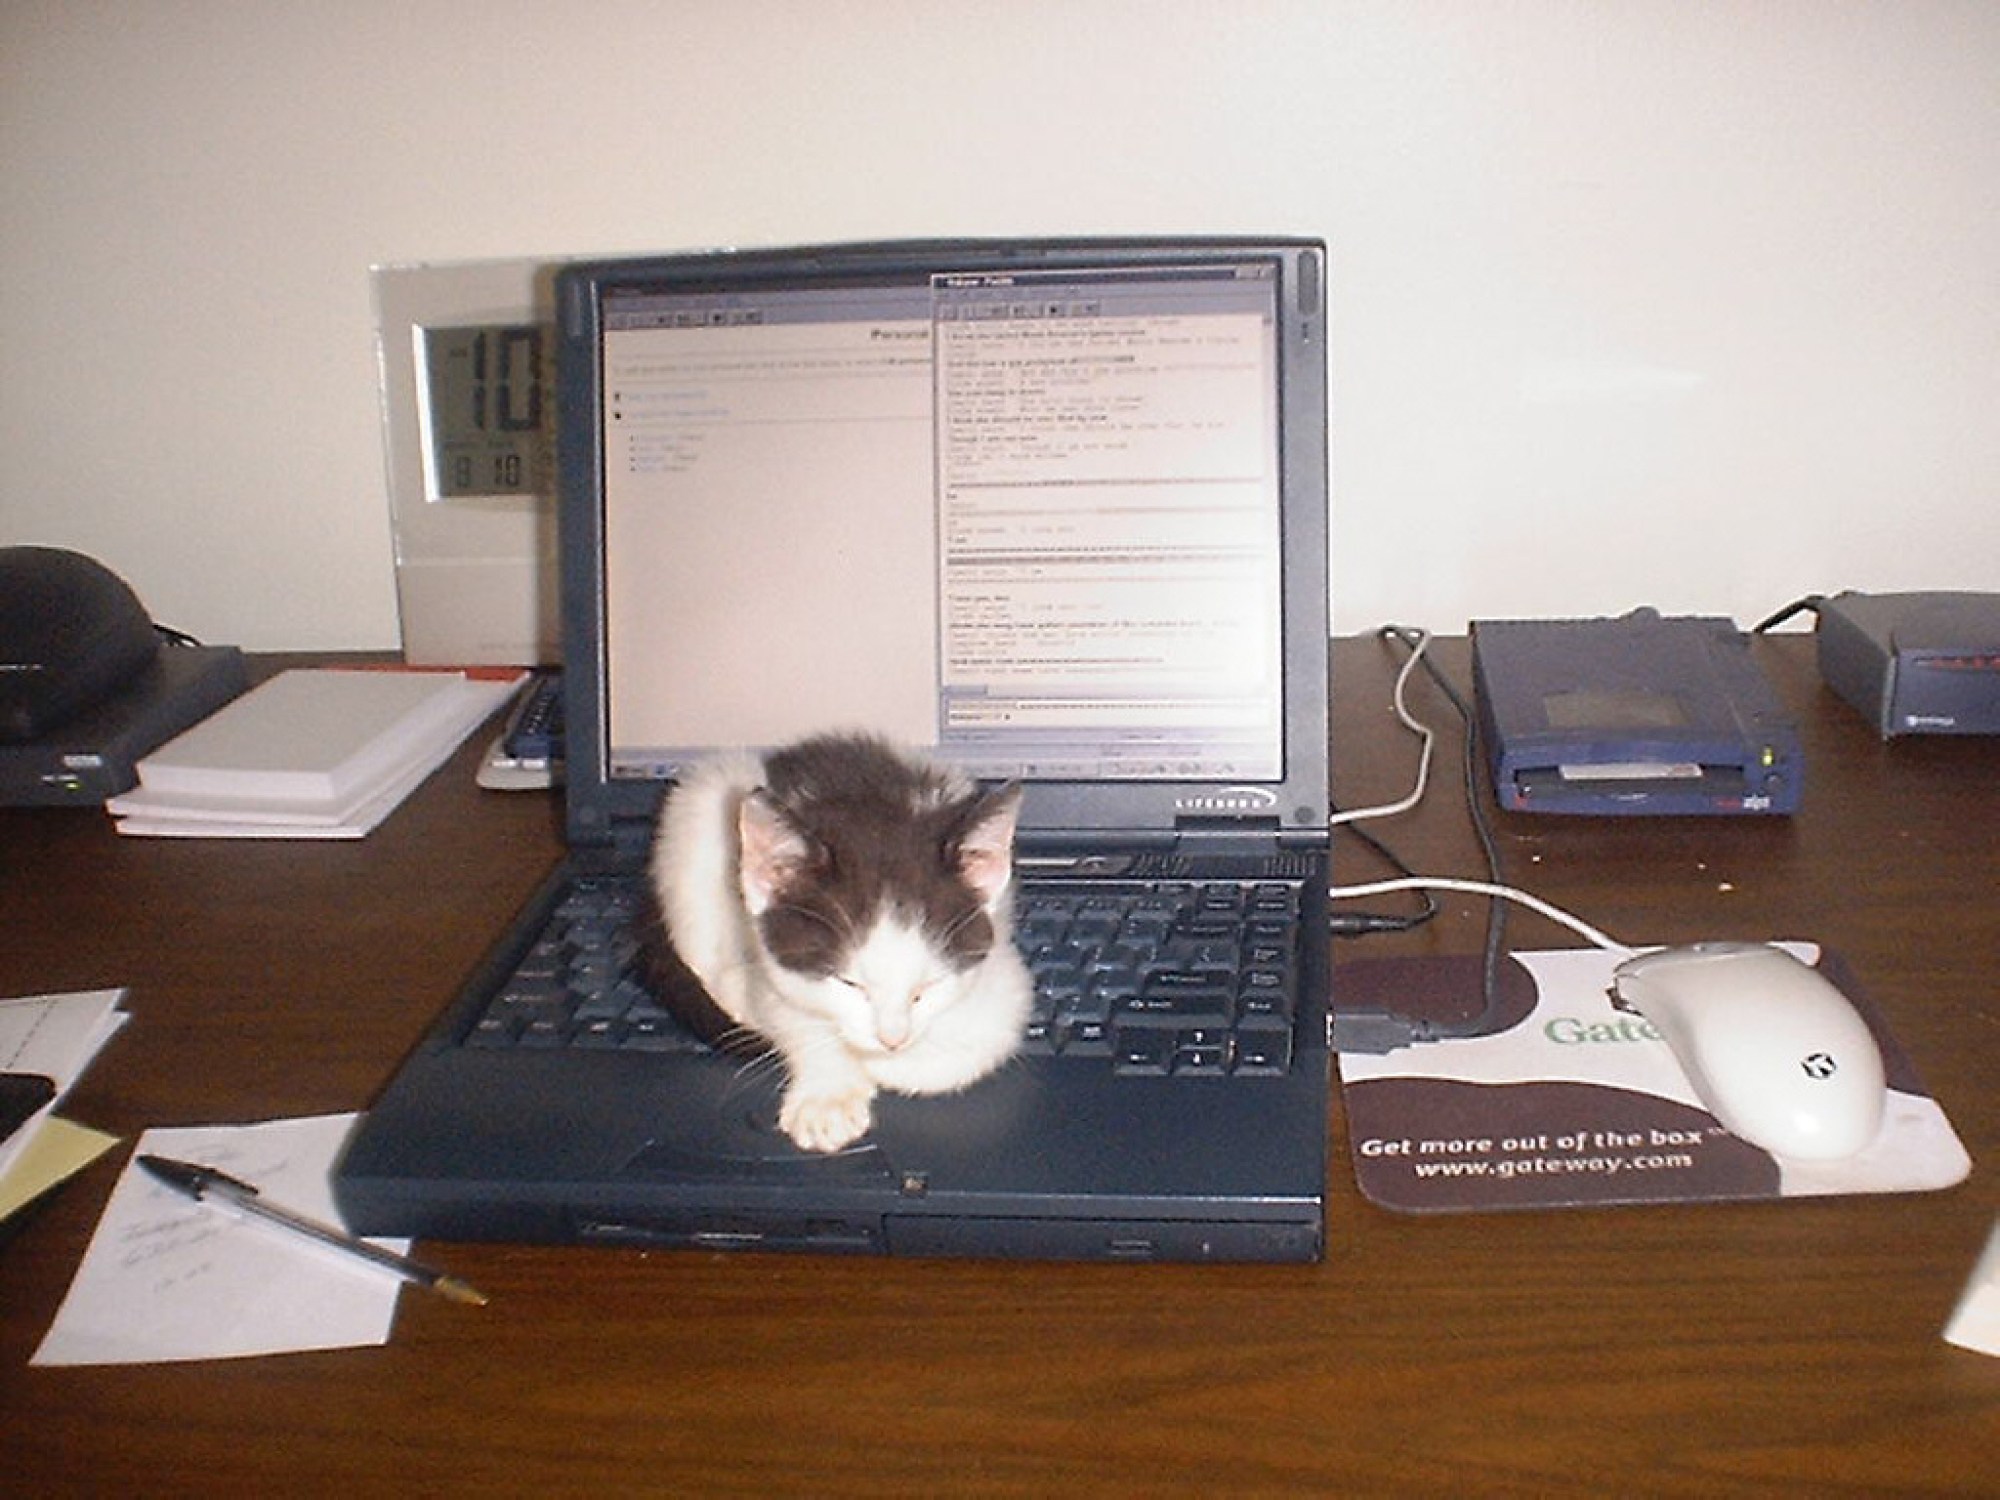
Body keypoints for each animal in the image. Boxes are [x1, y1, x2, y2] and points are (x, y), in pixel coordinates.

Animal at [643, 732, 1033, 1153]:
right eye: (849, 983)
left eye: (927, 987)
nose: (892, 1040)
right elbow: (782, 1009)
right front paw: (828, 1095)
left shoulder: (1004, 975)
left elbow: (977, 1044)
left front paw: (877, 1065)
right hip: (697, 805)